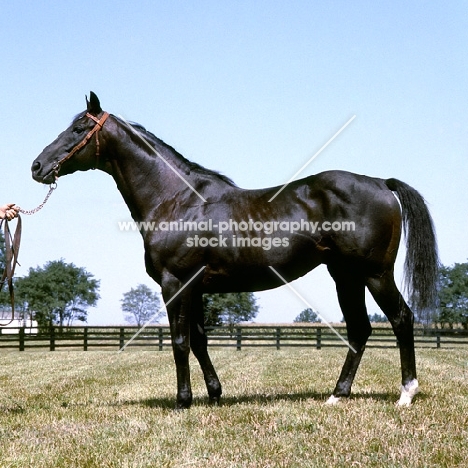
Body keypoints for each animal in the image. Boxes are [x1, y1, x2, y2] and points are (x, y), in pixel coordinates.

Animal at [31, 91, 436, 406]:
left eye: (79, 128)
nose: (37, 166)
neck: (176, 199)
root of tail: (381, 183)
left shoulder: (176, 283)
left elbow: (179, 341)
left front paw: (183, 401)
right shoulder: (195, 288)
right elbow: (198, 340)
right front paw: (213, 393)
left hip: (375, 273)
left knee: (401, 319)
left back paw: (405, 394)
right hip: (345, 276)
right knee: (359, 329)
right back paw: (338, 394)